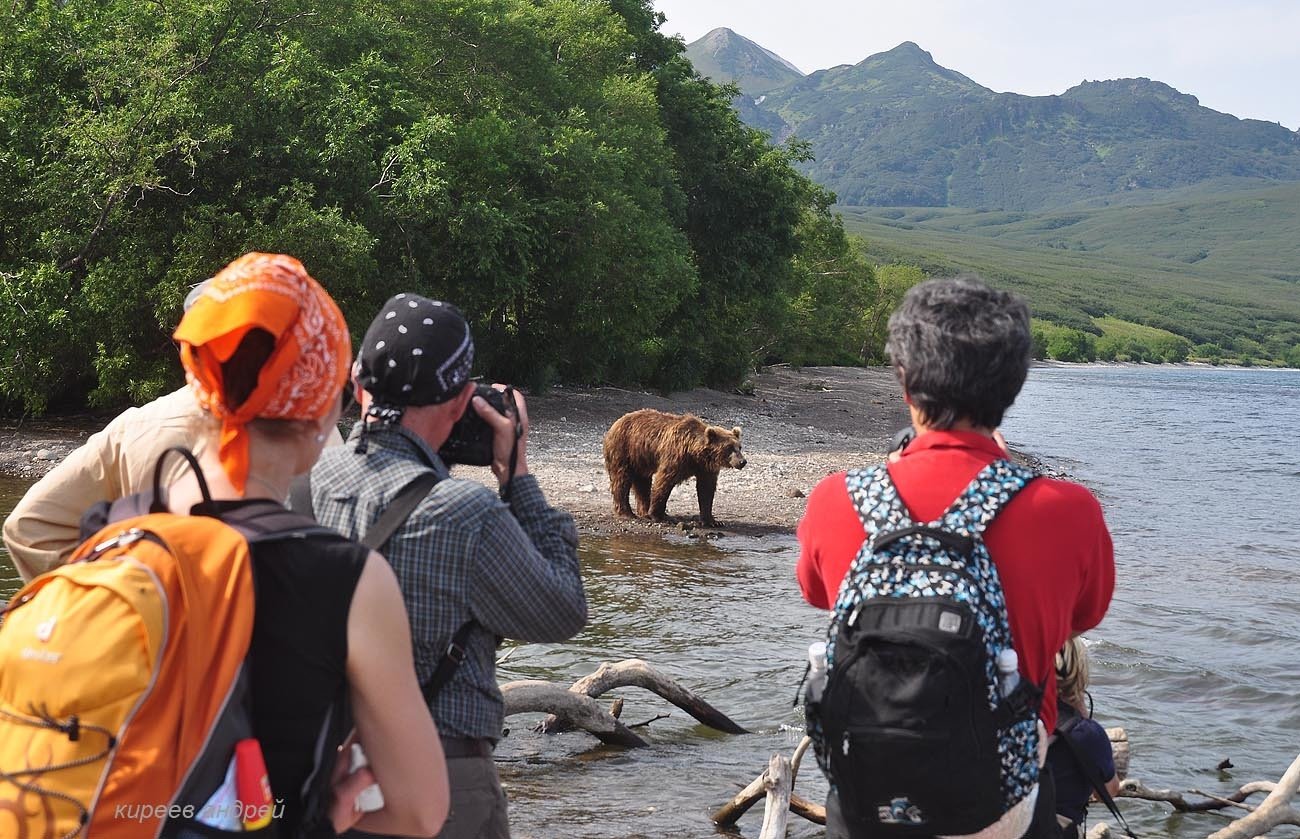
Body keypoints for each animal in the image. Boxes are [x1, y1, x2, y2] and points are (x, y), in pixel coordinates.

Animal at [598, 408, 743, 522]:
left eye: (739, 447)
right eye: (729, 447)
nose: (742, 462)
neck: (694, 453)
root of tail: (614, 424)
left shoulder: (705, 468)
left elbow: (706, 489)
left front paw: (711, 520)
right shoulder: (675, 457)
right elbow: (664, 481)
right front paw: (658, 515)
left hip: (640, 459)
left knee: (642, 483)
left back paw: (643, 511)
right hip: (624, 450)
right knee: (621, 479)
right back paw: (626, 513)